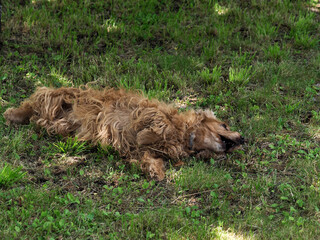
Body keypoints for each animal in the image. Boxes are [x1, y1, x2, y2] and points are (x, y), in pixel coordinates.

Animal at [3, 86, 245, 180]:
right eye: (224, 125)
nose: (243, 138)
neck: (186, 136)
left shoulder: (141, 151)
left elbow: (149, 156)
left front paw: (156, 171)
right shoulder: (147, 112)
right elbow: (156, 125)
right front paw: (150, 134)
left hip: (57, 123)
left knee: (38, 117)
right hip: (60, 95)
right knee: (35, 100)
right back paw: (13, 113)